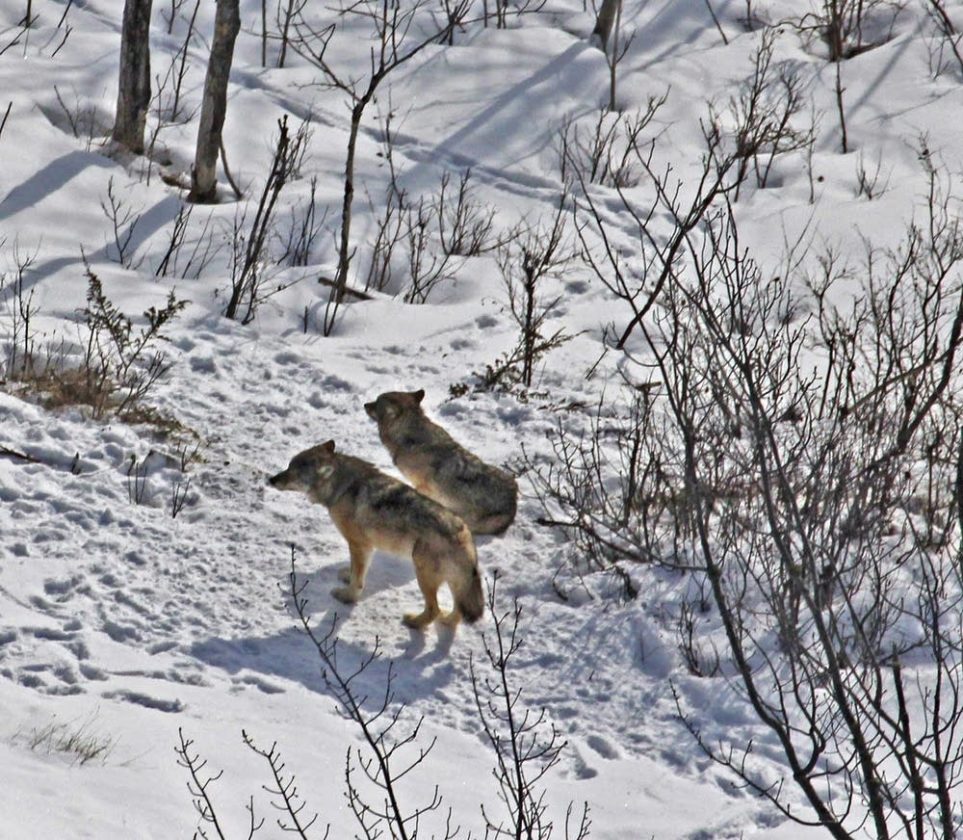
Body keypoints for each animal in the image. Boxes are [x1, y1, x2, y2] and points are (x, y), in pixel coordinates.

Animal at [267, 440, 484, 629]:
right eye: (288, 466)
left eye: (293, 472)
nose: (271, 479)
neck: (342, 487)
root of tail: (464, 533)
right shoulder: (362, 547)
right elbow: (354, 570)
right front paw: (347, 575)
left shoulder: (359, 544)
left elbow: (358, 579)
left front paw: (347, 597)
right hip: (451, 584)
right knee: (456, 613)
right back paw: (445, 621)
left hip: (423, 574)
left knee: (434, 610)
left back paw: (414, 623)